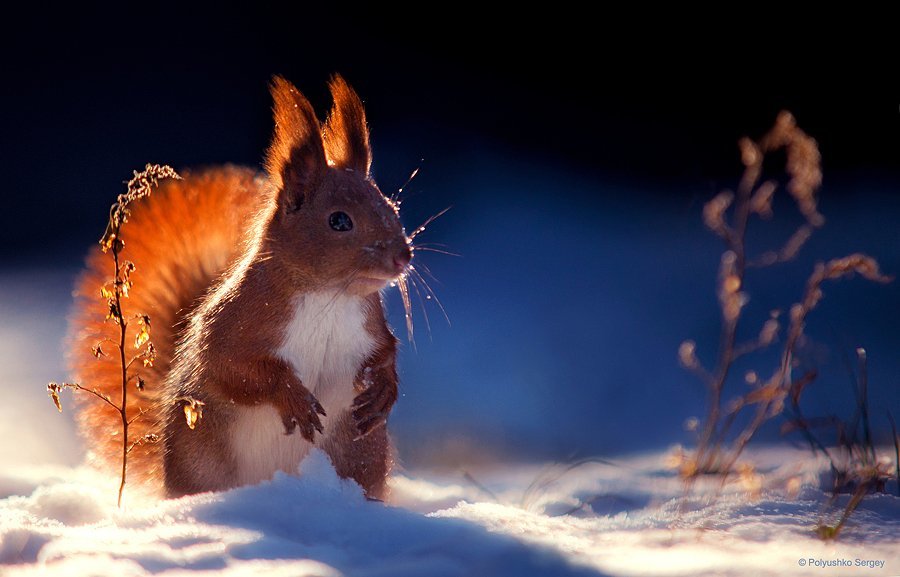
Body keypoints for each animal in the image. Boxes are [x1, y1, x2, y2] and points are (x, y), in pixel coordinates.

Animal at [67, 75, 412, 500]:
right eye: (339, 221)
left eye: (392, 207)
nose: (403, 256)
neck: (329, 297)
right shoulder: (234, 324)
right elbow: (231, 369)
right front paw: (292, 396)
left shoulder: (371, 327)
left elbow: (385, 353)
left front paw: (382, 391)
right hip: (201, 462)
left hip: (360, 456)